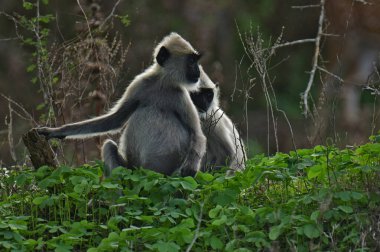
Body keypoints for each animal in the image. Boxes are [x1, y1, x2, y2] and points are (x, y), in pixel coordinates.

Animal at [35, 32, 206, 176]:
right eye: (191, 61)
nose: (198, 71)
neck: (163, 84)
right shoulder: (140, 84)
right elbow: (114, 120)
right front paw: (56, 131)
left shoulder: (181, 96)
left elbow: (197, 134)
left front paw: (190, 170)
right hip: (130, 168)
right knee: (109, 146)